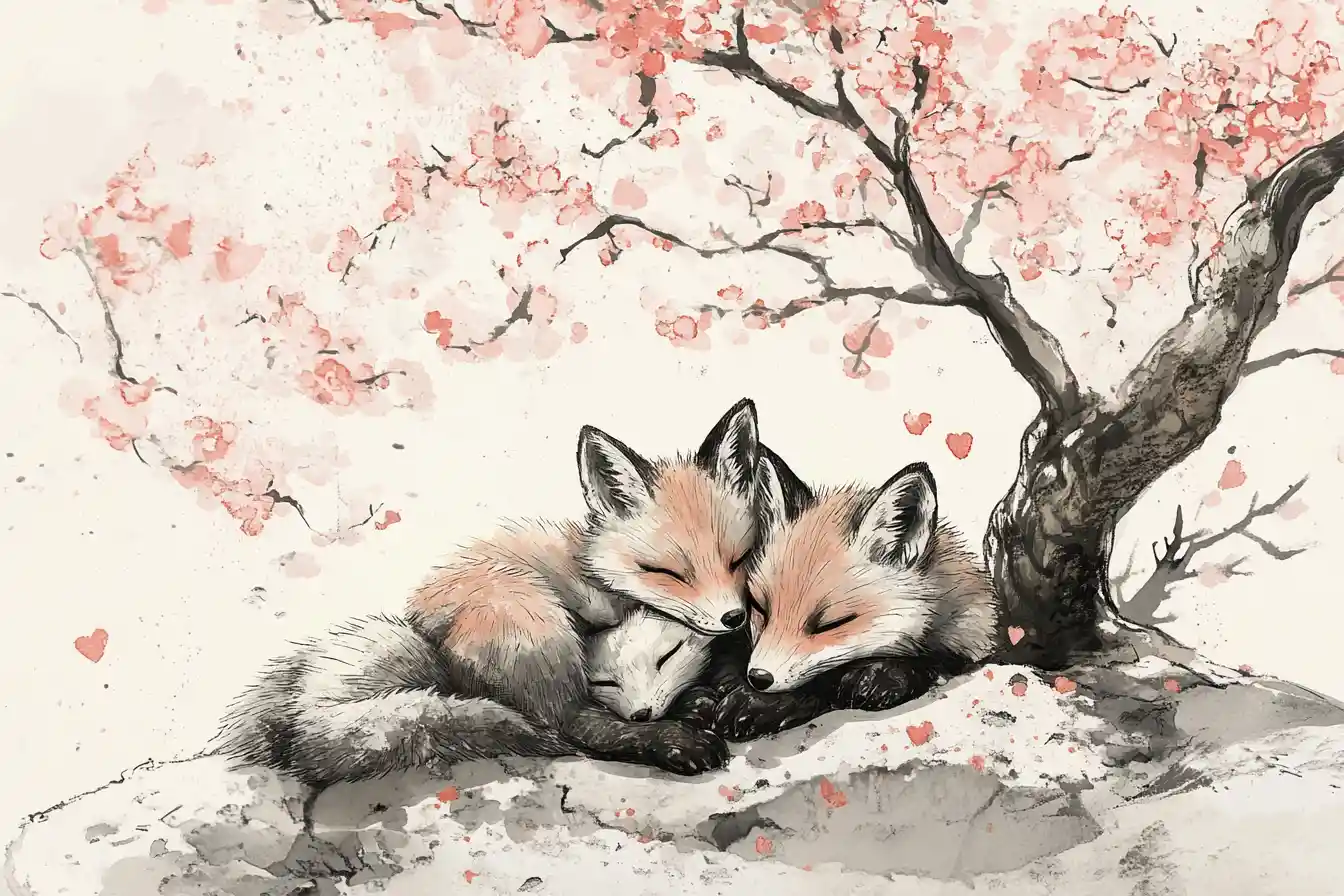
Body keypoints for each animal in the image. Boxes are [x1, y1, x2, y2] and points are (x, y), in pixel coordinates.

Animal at [212, 398, 763, 787]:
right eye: (666, 571)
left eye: (739, 560)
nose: (735, 620)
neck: (589, 564)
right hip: (534, 619)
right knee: (568, 729)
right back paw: (672, 737)